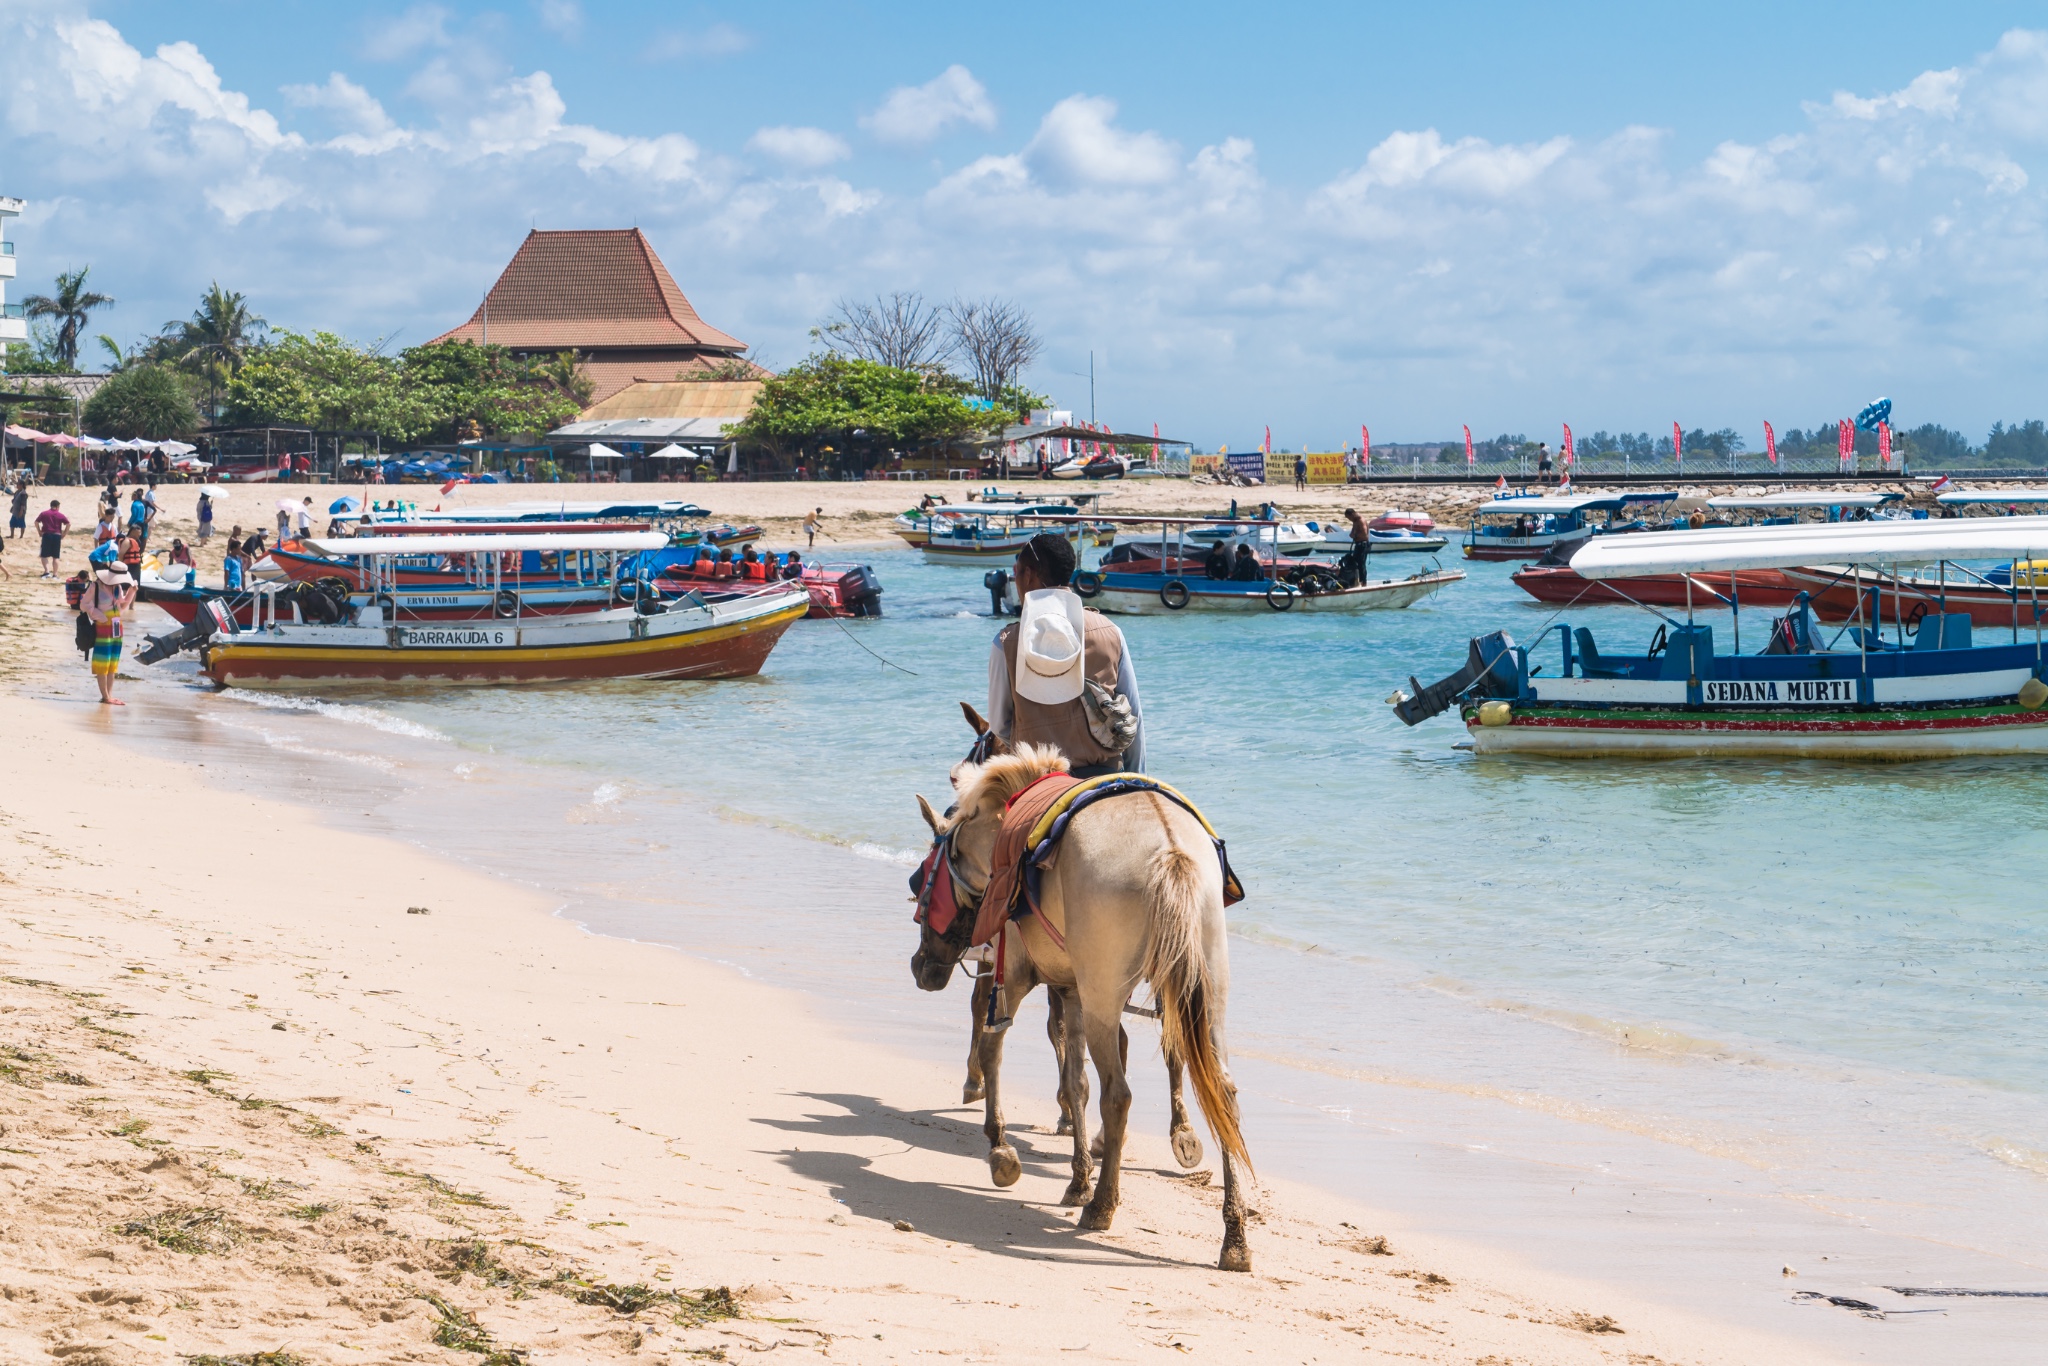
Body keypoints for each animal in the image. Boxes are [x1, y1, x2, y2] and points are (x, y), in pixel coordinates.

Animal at [917, 749, 1245, 1269]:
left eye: (925, 879)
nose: (921, 966)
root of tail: (1169, 849)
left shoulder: (1017, 972)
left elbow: (994, 1050)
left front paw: (1001, 1148)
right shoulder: (1071, 992)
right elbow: (1074, 1084)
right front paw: (1076, 1178)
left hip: (1105, 1001)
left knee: (1119, 1095)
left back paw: (1103, 1206)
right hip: (1205, 994)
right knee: (1223, 1093)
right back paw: (1233, 1235)